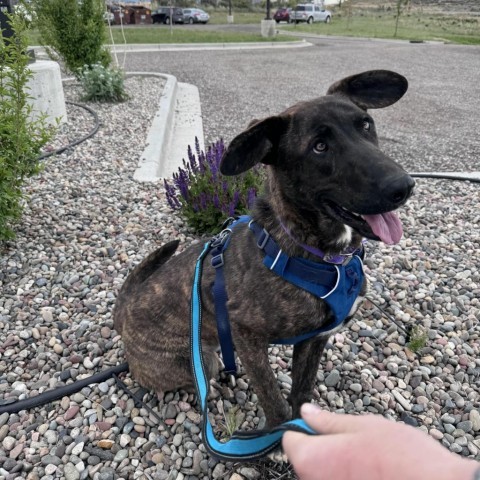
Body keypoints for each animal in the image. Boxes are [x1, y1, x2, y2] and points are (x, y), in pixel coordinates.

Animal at [114, 68, 414, 428]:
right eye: (319, 147)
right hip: (196, 360)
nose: (403, 186)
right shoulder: (246, 334)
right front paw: (278, 435)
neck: (317, 253)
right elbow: (274, 400)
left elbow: (302, 393)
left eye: (366, 125)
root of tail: (126, 312)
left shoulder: (314, 340)